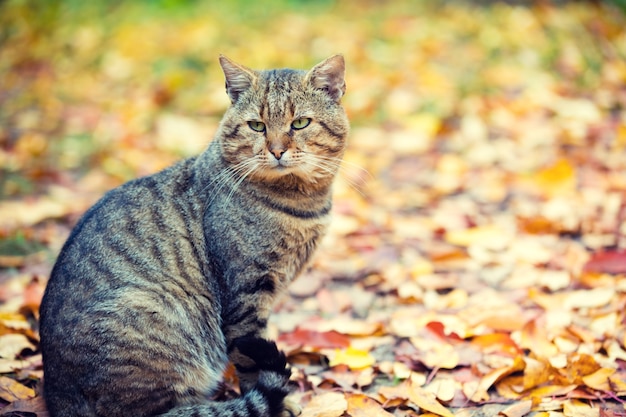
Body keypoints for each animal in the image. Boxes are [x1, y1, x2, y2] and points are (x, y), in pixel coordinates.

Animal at [39, 55, 348, 416]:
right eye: (257, 126)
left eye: (300, 123)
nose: (276, 150)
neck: (303, 204)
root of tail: (58, 396)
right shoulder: (245, 295)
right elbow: (250, 363)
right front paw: (277, 404)